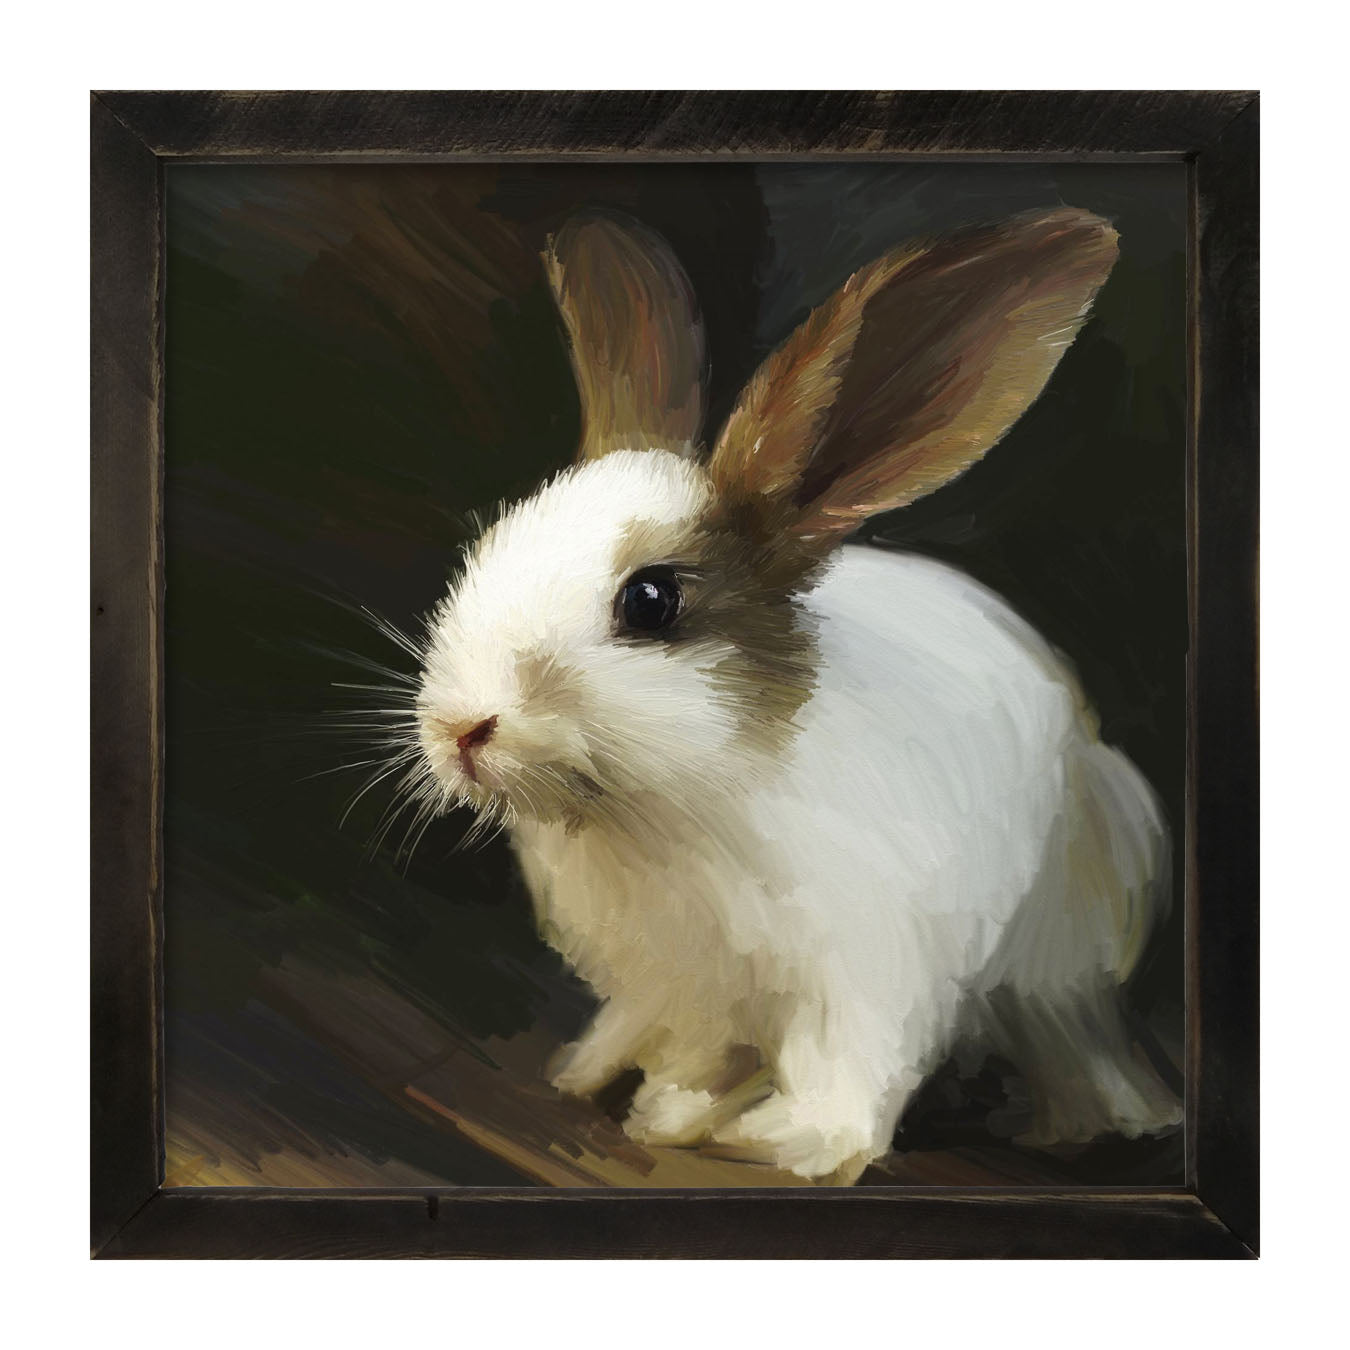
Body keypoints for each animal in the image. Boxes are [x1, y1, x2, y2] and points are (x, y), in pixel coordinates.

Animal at [412, 207, 1182, 1182]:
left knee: (1072, 1036)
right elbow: (690, 1050)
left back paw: (1099, 1123)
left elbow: (848, 1072)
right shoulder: (676, 985)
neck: (666, 809)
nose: (460, 729)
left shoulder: (866, 972)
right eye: (491, 543)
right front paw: (660, 1108)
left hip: (1067, 951)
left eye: (651, 601)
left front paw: (785, 1142)